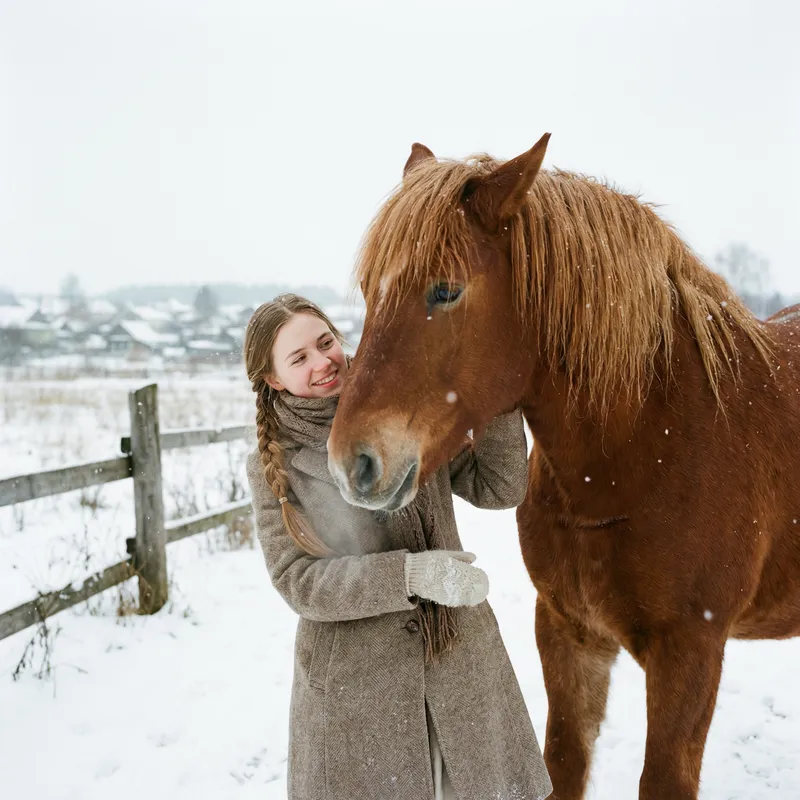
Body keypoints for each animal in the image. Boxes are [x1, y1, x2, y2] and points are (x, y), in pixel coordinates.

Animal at [325, 134, 800, 799]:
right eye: (370, 290)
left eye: (446, 289)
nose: (352, 464)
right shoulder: (567, 631)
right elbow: (564, 762)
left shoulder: (691, 652)